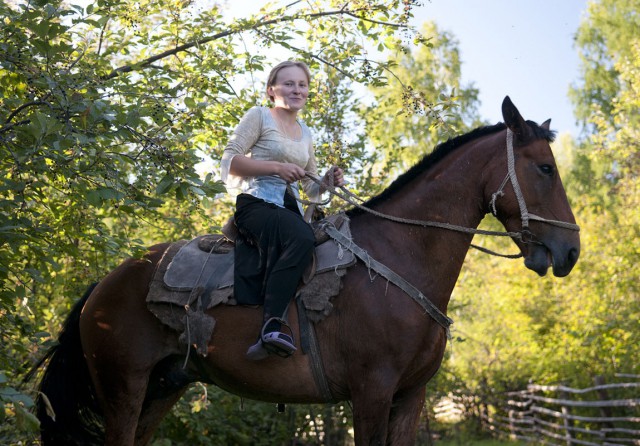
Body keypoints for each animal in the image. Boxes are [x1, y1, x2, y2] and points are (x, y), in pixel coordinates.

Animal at [31, 97, 580, 446]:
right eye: (545, 168)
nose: (570, 251)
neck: (399, 257)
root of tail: (103, 286)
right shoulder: (372, 392)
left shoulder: (410, 397)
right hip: (123, 387)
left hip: (163, 387)